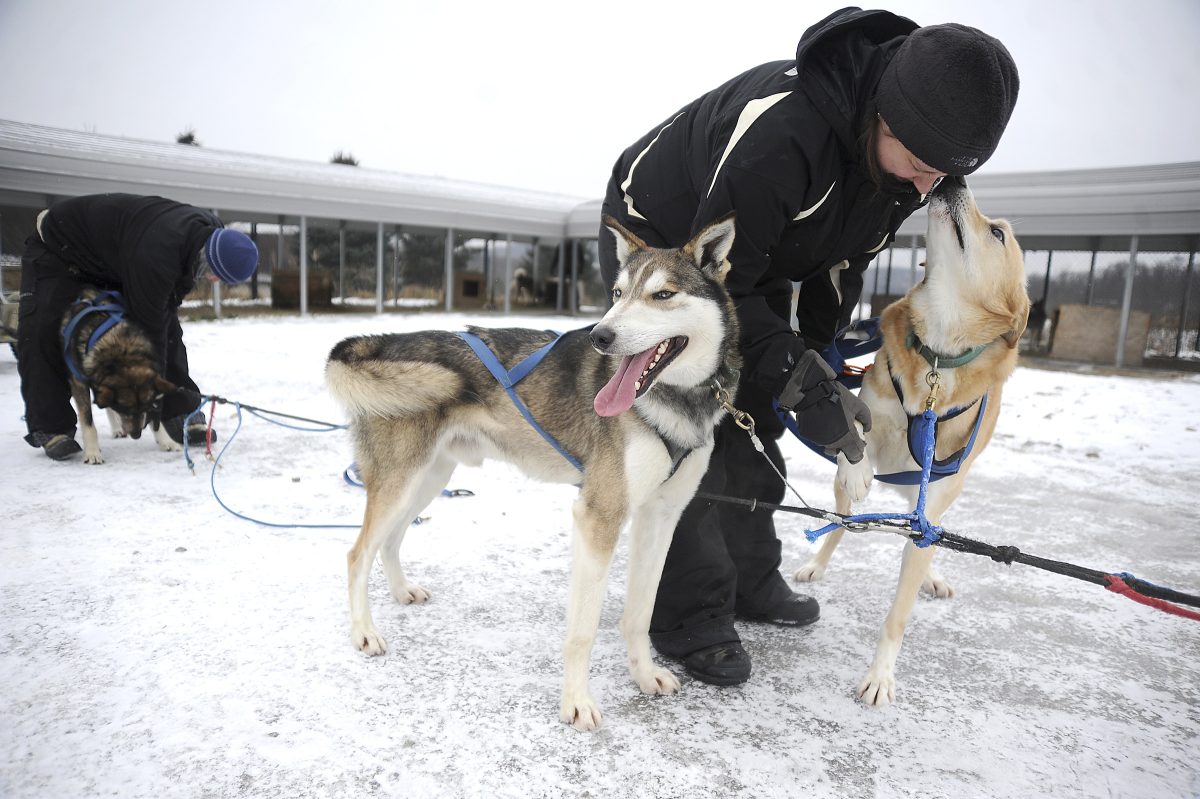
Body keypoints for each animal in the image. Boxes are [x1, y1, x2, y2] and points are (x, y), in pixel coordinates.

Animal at [62, 289, 180, 464]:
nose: (136, 434)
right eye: (125, 409)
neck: (121, 352)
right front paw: (92, 452)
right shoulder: (79, 384)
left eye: (145, 408)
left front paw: (166, 441)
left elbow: (154, 418)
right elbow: (87, 421)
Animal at [325, 215, 740, 731]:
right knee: (357, 554)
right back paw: (364, 632)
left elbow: (639, 613)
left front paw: (644, 676)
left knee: (391, 540)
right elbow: (583, 629)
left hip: (428, 479)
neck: (673, 399)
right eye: (618, 292)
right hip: (400, 480)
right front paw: (577, 703)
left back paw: (402, 591)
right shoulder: (598, 516)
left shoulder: (661, 516)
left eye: (662, 294)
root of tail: (382, 341)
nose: (601, 336)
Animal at [794, 176, 1030, 705]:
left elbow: (899, 609)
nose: (956, 180)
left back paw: (932, 573)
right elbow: (855, 427)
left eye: (998, 234)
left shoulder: (930, 499)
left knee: (928, 533)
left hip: (935, 495)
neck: (939, 354)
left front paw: (880, 676)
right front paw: (855, 462)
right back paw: (819, 560)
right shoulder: (874, 406)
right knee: (839, 523)